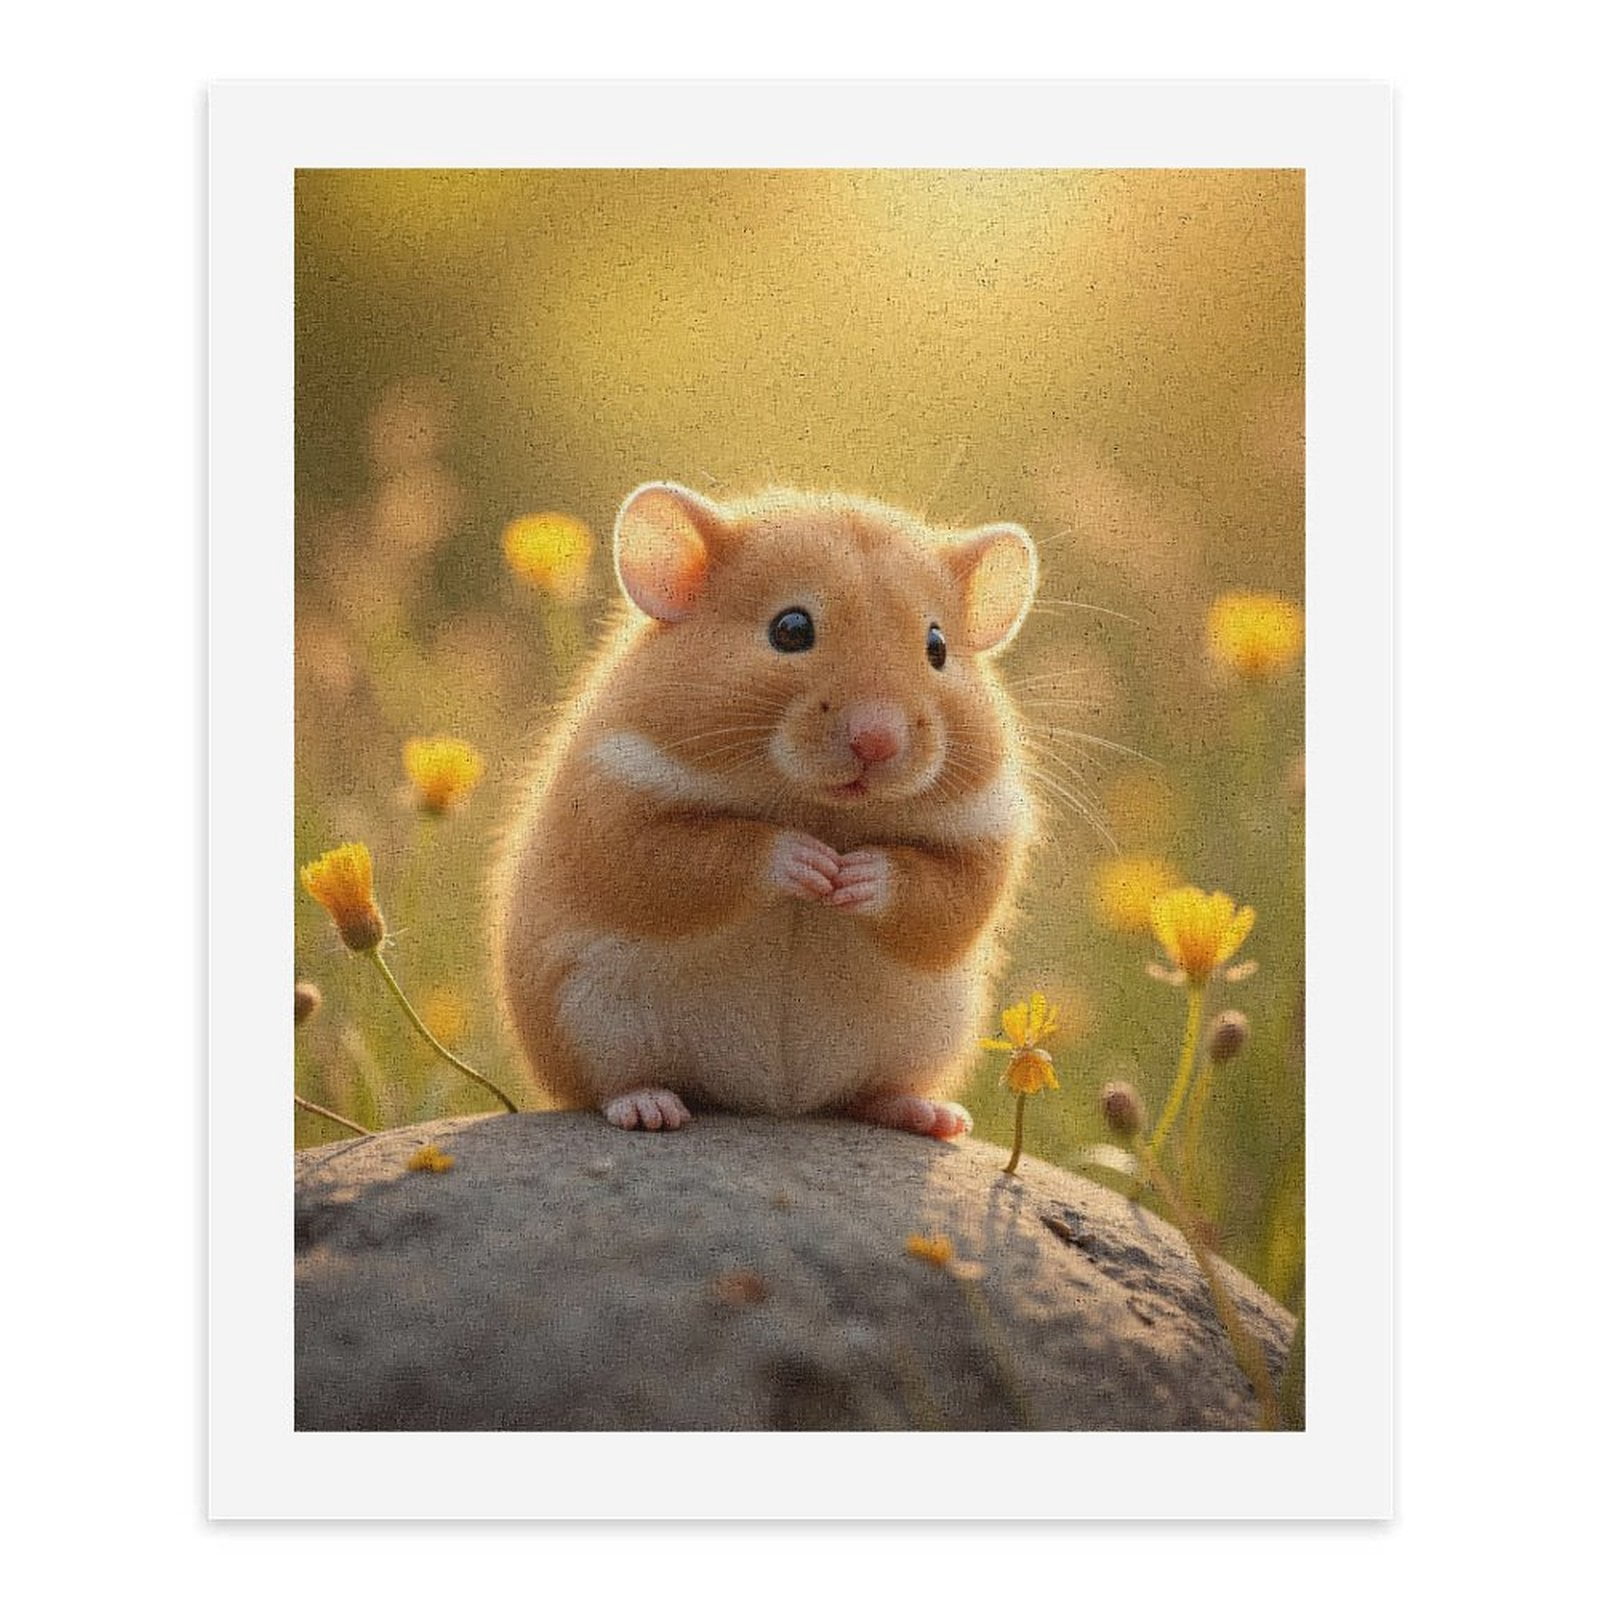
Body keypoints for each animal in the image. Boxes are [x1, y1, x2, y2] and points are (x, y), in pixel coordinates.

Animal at [491, 483, 1039, 1137]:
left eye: (937, 648)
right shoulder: (617, 806)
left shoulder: (985, 837)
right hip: (587, 1016)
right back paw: (652, 1110)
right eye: (791, 628)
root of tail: (776, 1100)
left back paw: (936, 1117)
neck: (821, 807)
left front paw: (849, 877)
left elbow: (942, 892)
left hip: (926, 1036)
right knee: (612, 1086)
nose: (877, 741)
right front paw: (815, 867)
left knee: (867, 1095)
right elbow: (703, 855)